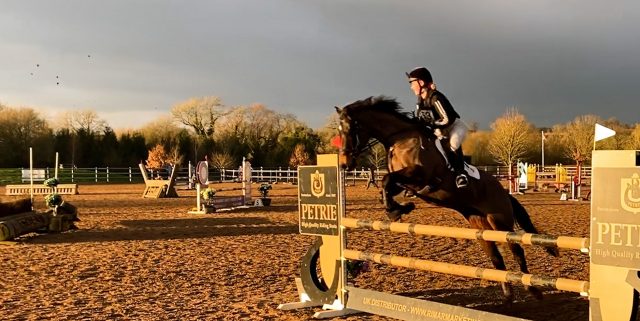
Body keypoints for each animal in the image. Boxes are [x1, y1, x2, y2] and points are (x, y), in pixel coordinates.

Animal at [332, 94, 556, 300]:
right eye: (339, 132)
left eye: (350, 129)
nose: (344, 164)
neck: (401, 139)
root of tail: (504, 192)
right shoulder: (408, 183)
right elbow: (387, 186)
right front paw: (399, 208)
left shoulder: (420, 176)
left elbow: (387, 180)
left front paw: (397, 210)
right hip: (479, 224)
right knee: (496, 257)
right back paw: (507, 293)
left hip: (500, 221)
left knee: (517, 250)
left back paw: (533, 290)